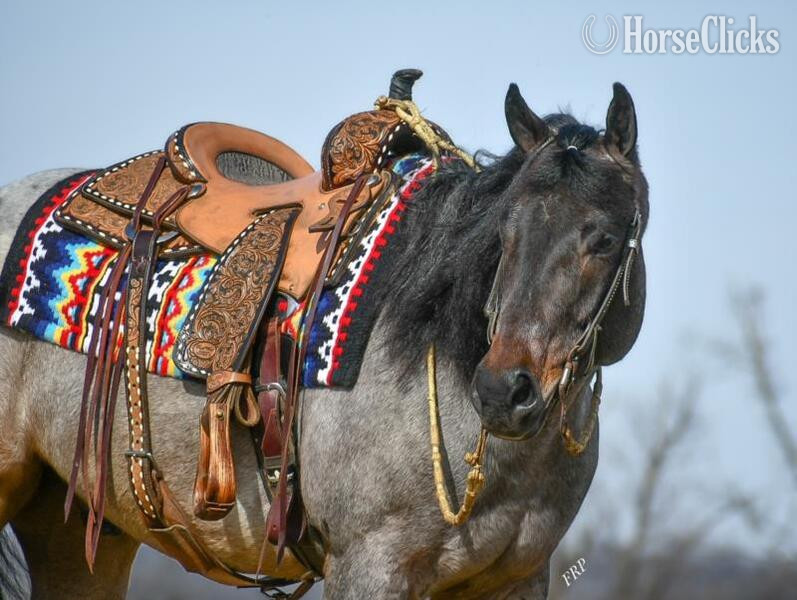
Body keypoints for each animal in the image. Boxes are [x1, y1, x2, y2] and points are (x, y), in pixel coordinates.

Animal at [0, 81, 648, 599]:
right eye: (502, 234)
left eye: (605, 240)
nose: (503, 392)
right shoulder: (369, 567)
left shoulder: (516, 579)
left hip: (76, 528)